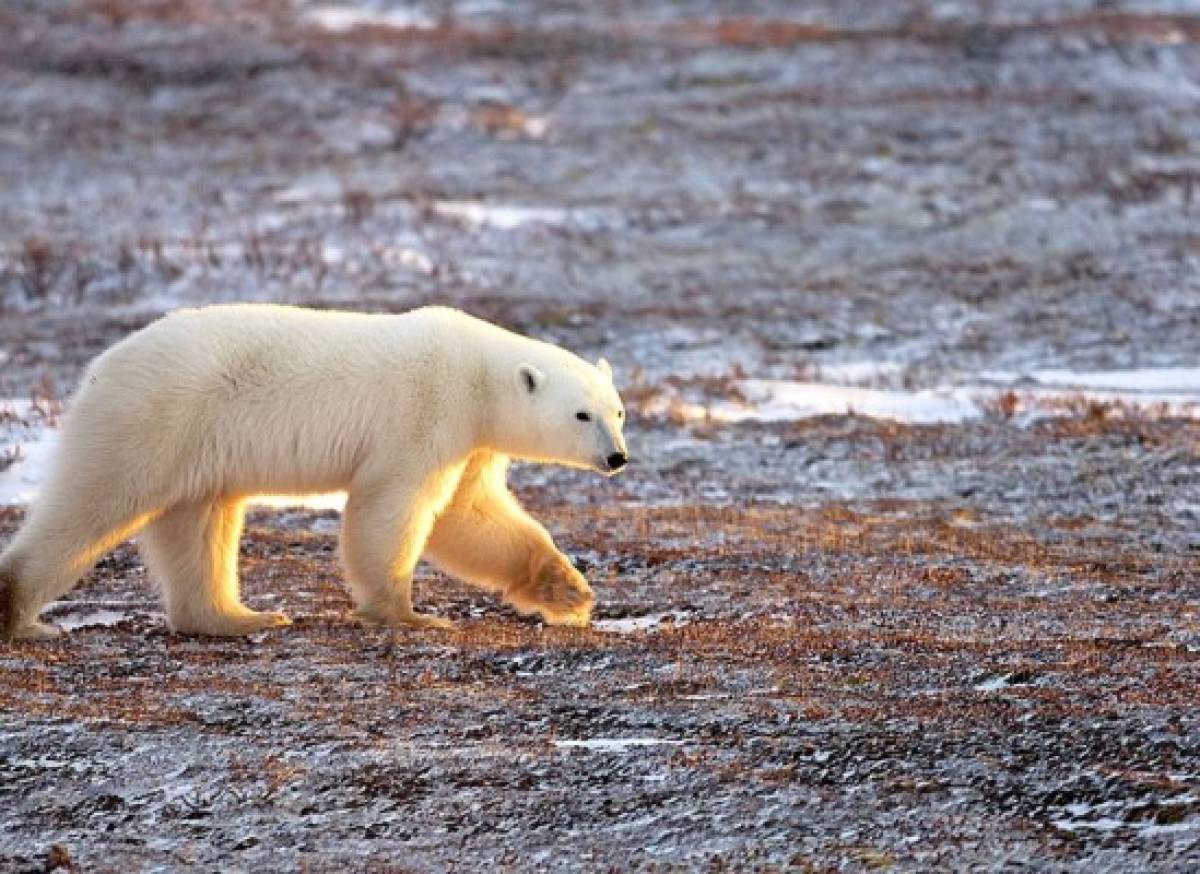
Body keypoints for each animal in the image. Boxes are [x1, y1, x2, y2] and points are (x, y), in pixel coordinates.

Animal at [0, 303, 624, 638]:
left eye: (617, 410)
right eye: (581, 413)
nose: (618, 457)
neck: (476, 374)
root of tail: (99, 367)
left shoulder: (471, 442)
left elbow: (470, 515)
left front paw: (568, 591)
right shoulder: (425, 413)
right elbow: (394, 506)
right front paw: (410, 616)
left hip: (196, 447)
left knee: (200, 526)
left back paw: (242, 617)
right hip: (151, 419)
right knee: (90, 506)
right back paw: (21, 615)